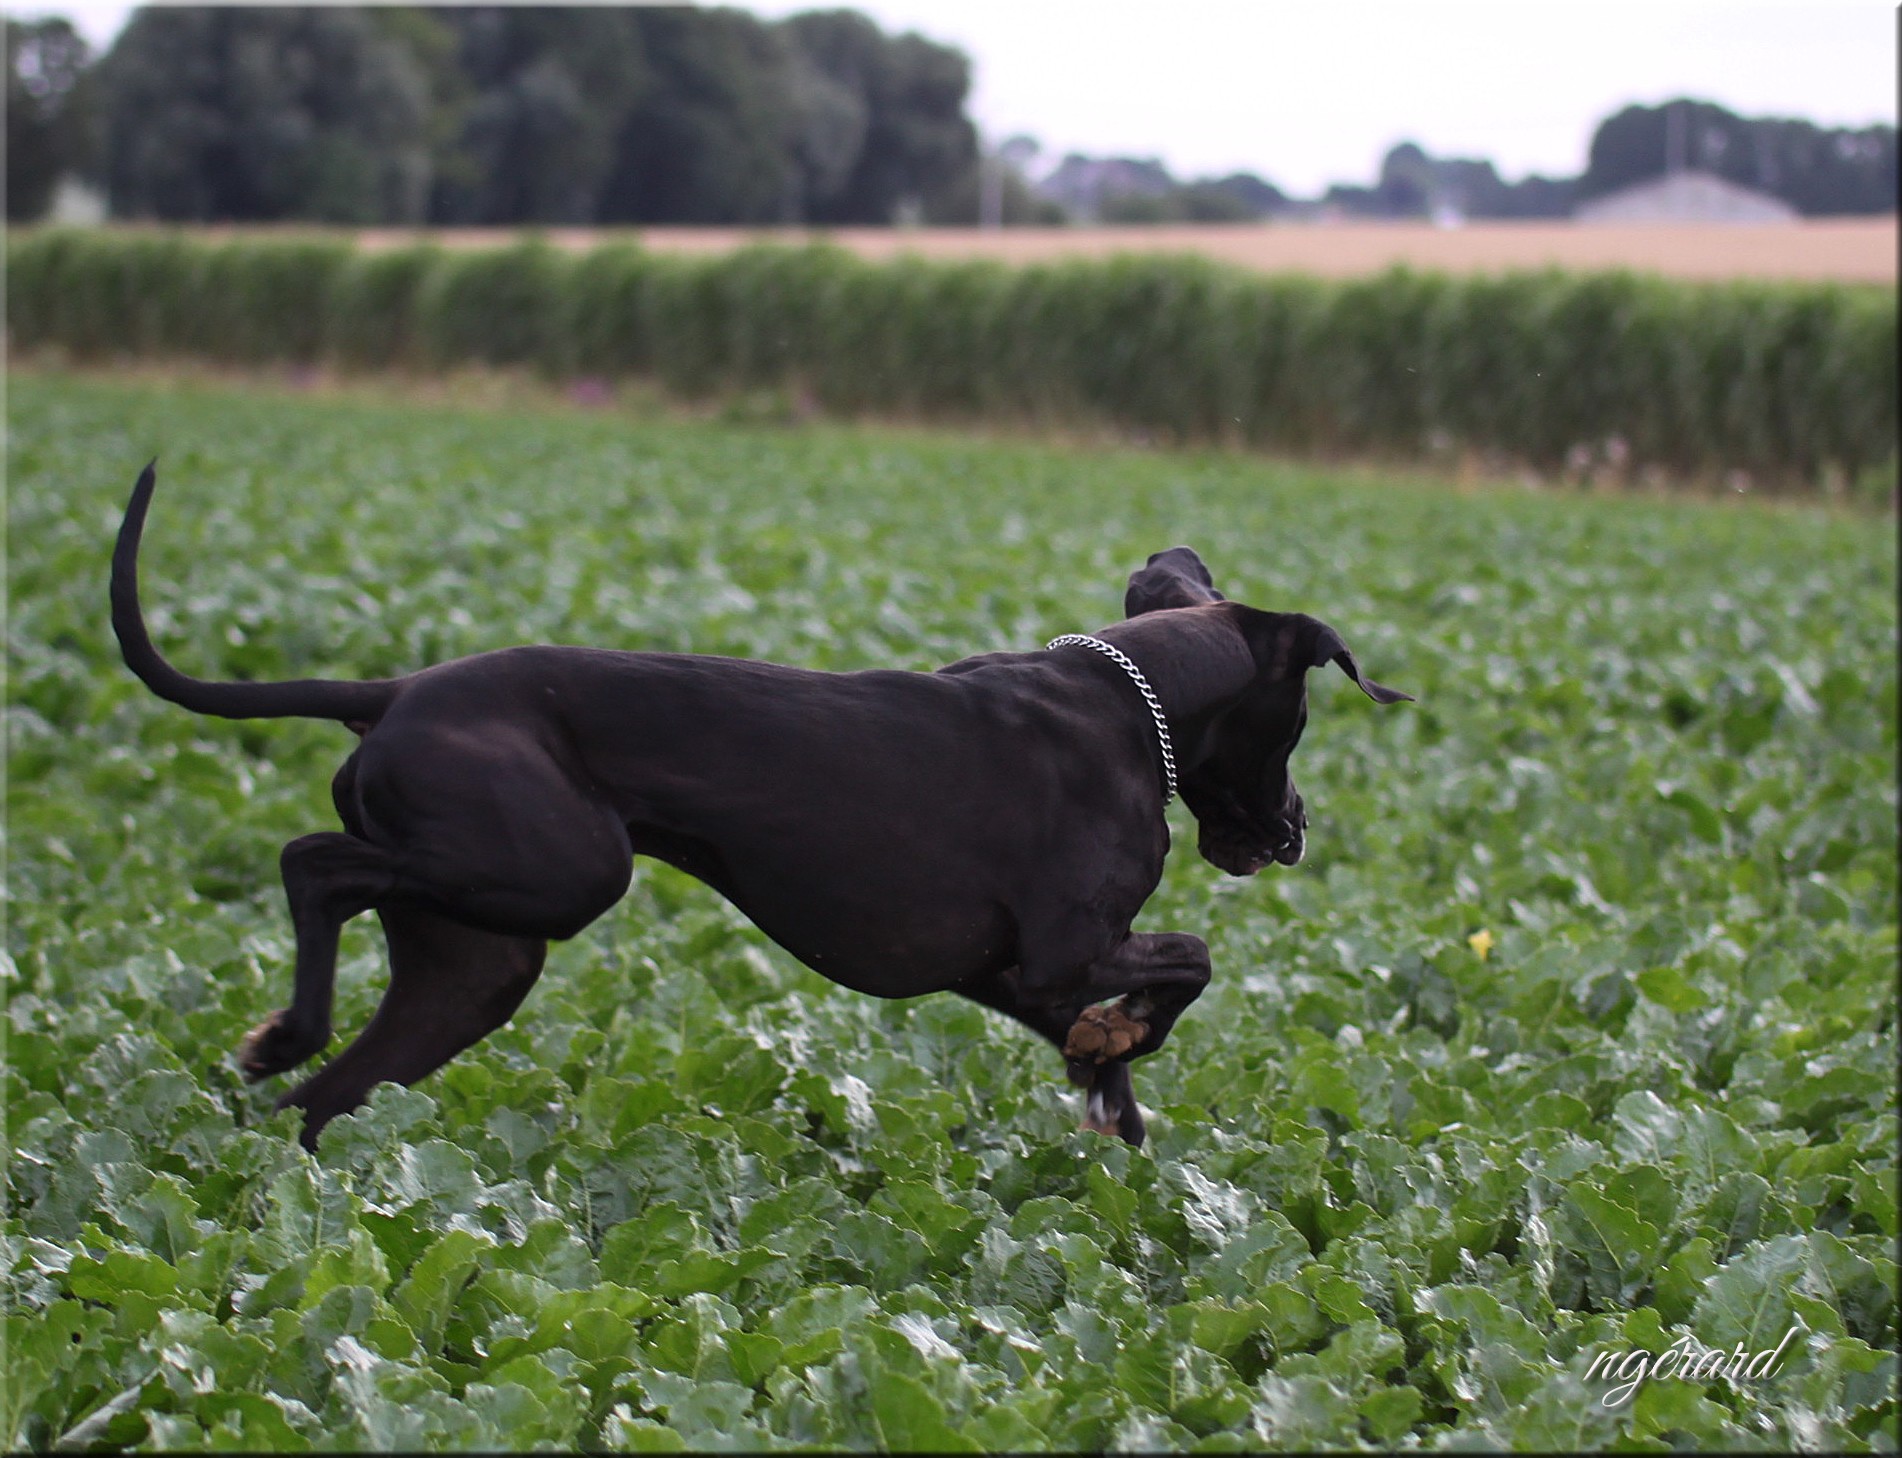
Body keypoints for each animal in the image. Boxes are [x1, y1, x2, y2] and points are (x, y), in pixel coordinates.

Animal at [107, 467, 1415, 1155]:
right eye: (1300, 718)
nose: (1293, 829)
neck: (1130, 698)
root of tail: (393, 692)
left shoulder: (1003, 975)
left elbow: (1125, 1067)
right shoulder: (1059, 950)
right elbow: (1189, 960)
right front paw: (1122, 1044)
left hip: (476, 964)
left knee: (325, 1093)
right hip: (560, 871)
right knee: (311, 863)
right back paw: (283, 1029)